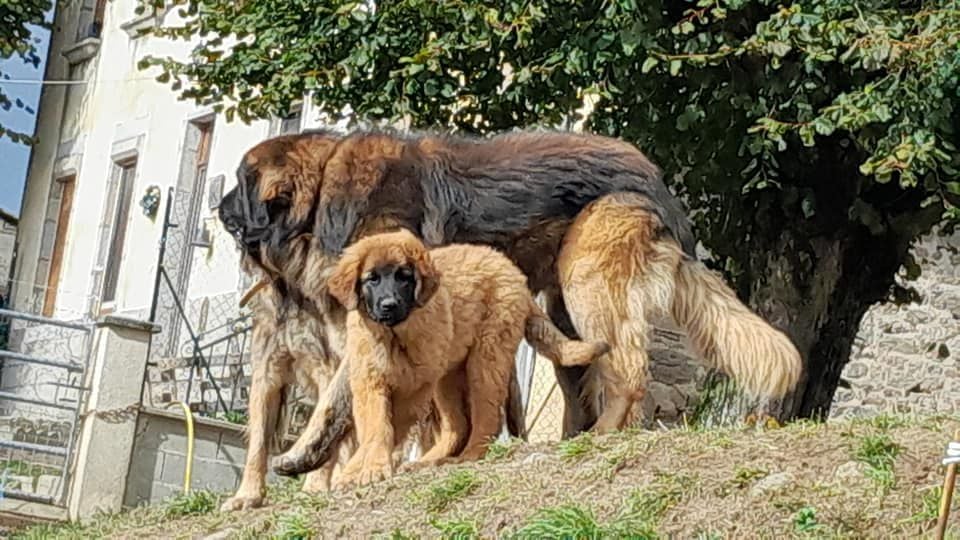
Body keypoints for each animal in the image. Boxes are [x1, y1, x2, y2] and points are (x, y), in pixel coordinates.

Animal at [326, 230, 604, 488]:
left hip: (485, 358)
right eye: (372, 279)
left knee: (486, 418)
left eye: (404, 277)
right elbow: (375, 426)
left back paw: (470, 455)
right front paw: (360, 469)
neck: (392, 335)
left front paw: (371, 468)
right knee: (458, 425)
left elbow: (390, 426)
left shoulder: (415, 385)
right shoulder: (370, 381)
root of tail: (513, 271)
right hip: (448, 375)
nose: (389, 305)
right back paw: (430, 460)